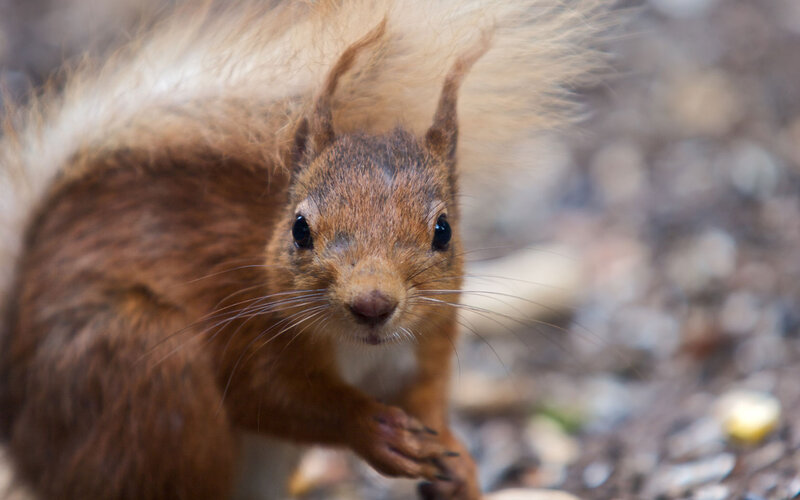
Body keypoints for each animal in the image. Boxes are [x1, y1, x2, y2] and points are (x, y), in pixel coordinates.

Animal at [0, 1, 610, 499]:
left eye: (444, 231)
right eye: (298, 229)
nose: (372, 305)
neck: (362, 352)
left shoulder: (426, 346)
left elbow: (429, 402)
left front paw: (459, 464)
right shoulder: (241, 330)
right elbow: (275, 398)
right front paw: (372, 429)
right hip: (140, 374)